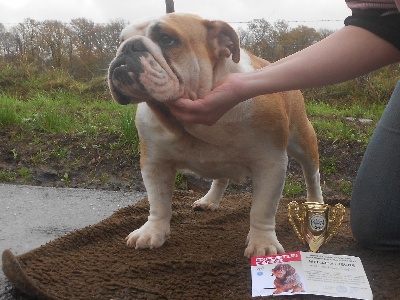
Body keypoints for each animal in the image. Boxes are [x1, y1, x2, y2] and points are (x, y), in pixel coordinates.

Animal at [108, 12, 324, 258]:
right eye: (121, 40)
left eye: (167, 39)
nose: (128, 47)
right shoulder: (154, 163)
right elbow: (158, 201)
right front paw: (153, 232)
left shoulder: (270, 163)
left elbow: (262, 209)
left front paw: (262, 244)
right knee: (221, 177)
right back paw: (209, 200)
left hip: (303, 140)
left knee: (312, 175)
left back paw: (316, 204)